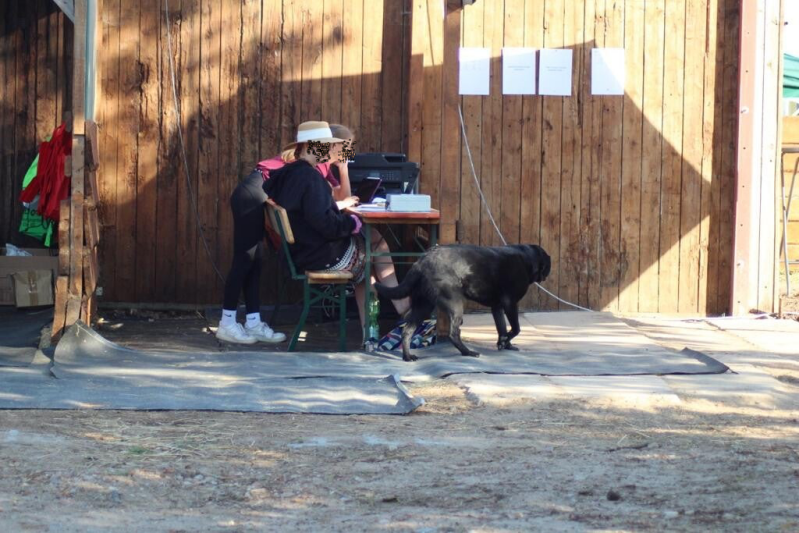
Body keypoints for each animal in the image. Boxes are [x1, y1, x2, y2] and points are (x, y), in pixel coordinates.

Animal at [374, 244, 551, 362]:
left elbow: (501, 328)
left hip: (423, 305)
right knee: (453, 333)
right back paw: (468, 353)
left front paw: (505, 344)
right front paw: (504, 342)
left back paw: (407, 356)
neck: (527, 259)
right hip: (455, 303)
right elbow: (516, 328)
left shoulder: (497, 307)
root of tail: (421, 262)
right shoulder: (510, 303)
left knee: (407, 331)